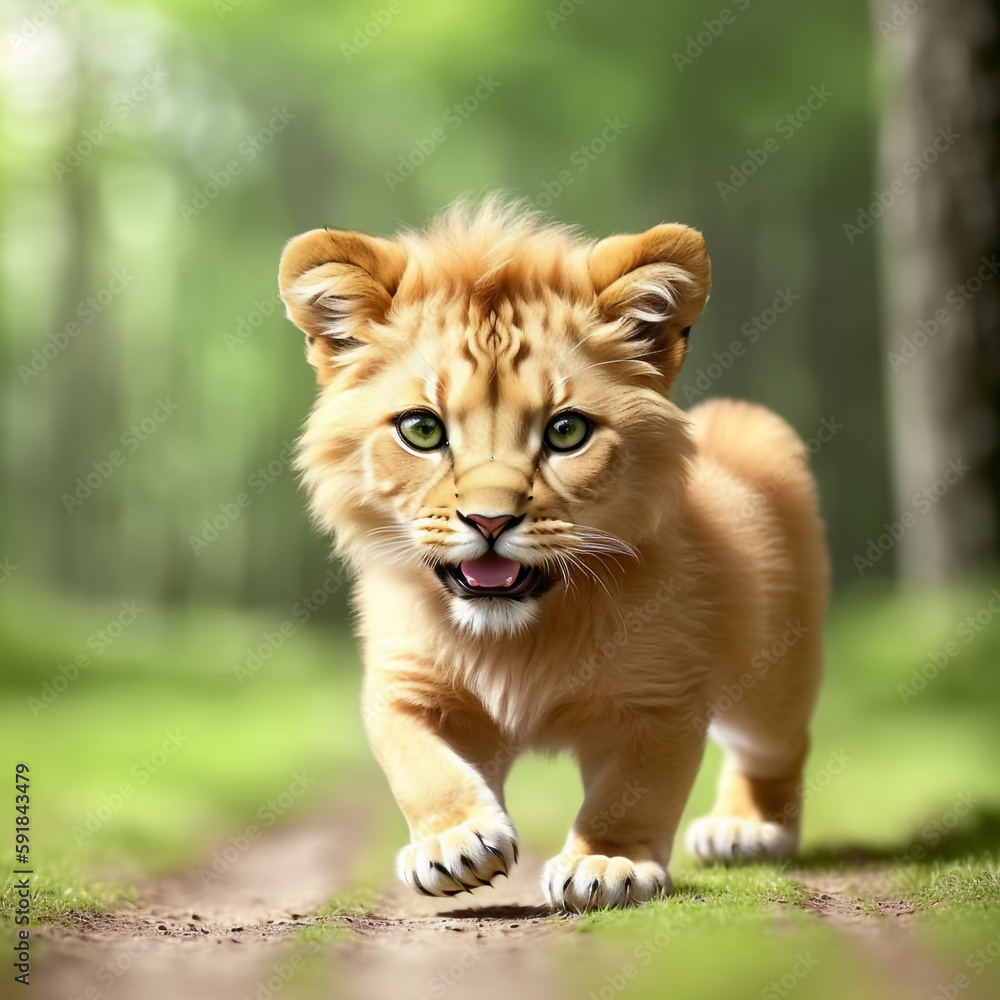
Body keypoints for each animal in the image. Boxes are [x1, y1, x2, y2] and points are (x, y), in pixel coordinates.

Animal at [277, 198, 828, 911]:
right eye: (422, 429)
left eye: (566, 431)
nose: (489, 520)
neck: (516, 638)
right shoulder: (404, 683)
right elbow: (419, 763)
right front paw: (455, 842)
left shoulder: (659, 700)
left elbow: (632, 793)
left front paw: (608, 862)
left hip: (772, 678)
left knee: (776, 745)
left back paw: (748, 829)